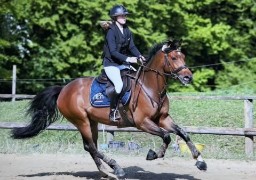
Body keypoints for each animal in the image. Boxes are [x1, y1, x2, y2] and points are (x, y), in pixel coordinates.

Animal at [12, 39, 208, 179]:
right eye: (174, 58)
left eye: (183, 57)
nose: (188, 77)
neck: (150, 87)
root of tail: (64, 89)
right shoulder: (143, 123)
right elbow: (166, 136)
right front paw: (153, 154)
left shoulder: (163, 118)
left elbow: (183, 133)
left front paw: (200, 161)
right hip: (81, 121)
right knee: (91, 146)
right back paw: (116, 168)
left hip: (91, 122)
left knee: (90, 147)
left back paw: (106, 172)